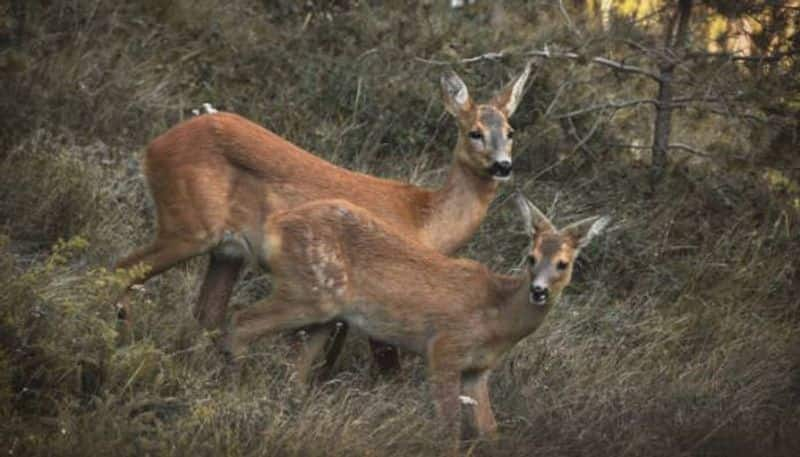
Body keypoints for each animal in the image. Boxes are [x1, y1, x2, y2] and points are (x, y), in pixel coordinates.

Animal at [114, 63, 532, 370]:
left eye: (511, 131)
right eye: (474, 132)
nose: (503, 165)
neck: (424, 220)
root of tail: (155, 146)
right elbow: (382, 365)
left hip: (226, 251)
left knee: (205, 313)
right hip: (188, 226)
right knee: (124, 270)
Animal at [222, 194, 608, 444]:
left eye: (563, 263)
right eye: (530, 257)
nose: (539, 290)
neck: (496, 318)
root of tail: (275, 225)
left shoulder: (478, 370)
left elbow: (490, 431)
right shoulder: (444, 347)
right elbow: (449, 430)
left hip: (323, 312)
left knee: (297, 366)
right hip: (308, 293)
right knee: (240, 322)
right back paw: (240, 392)